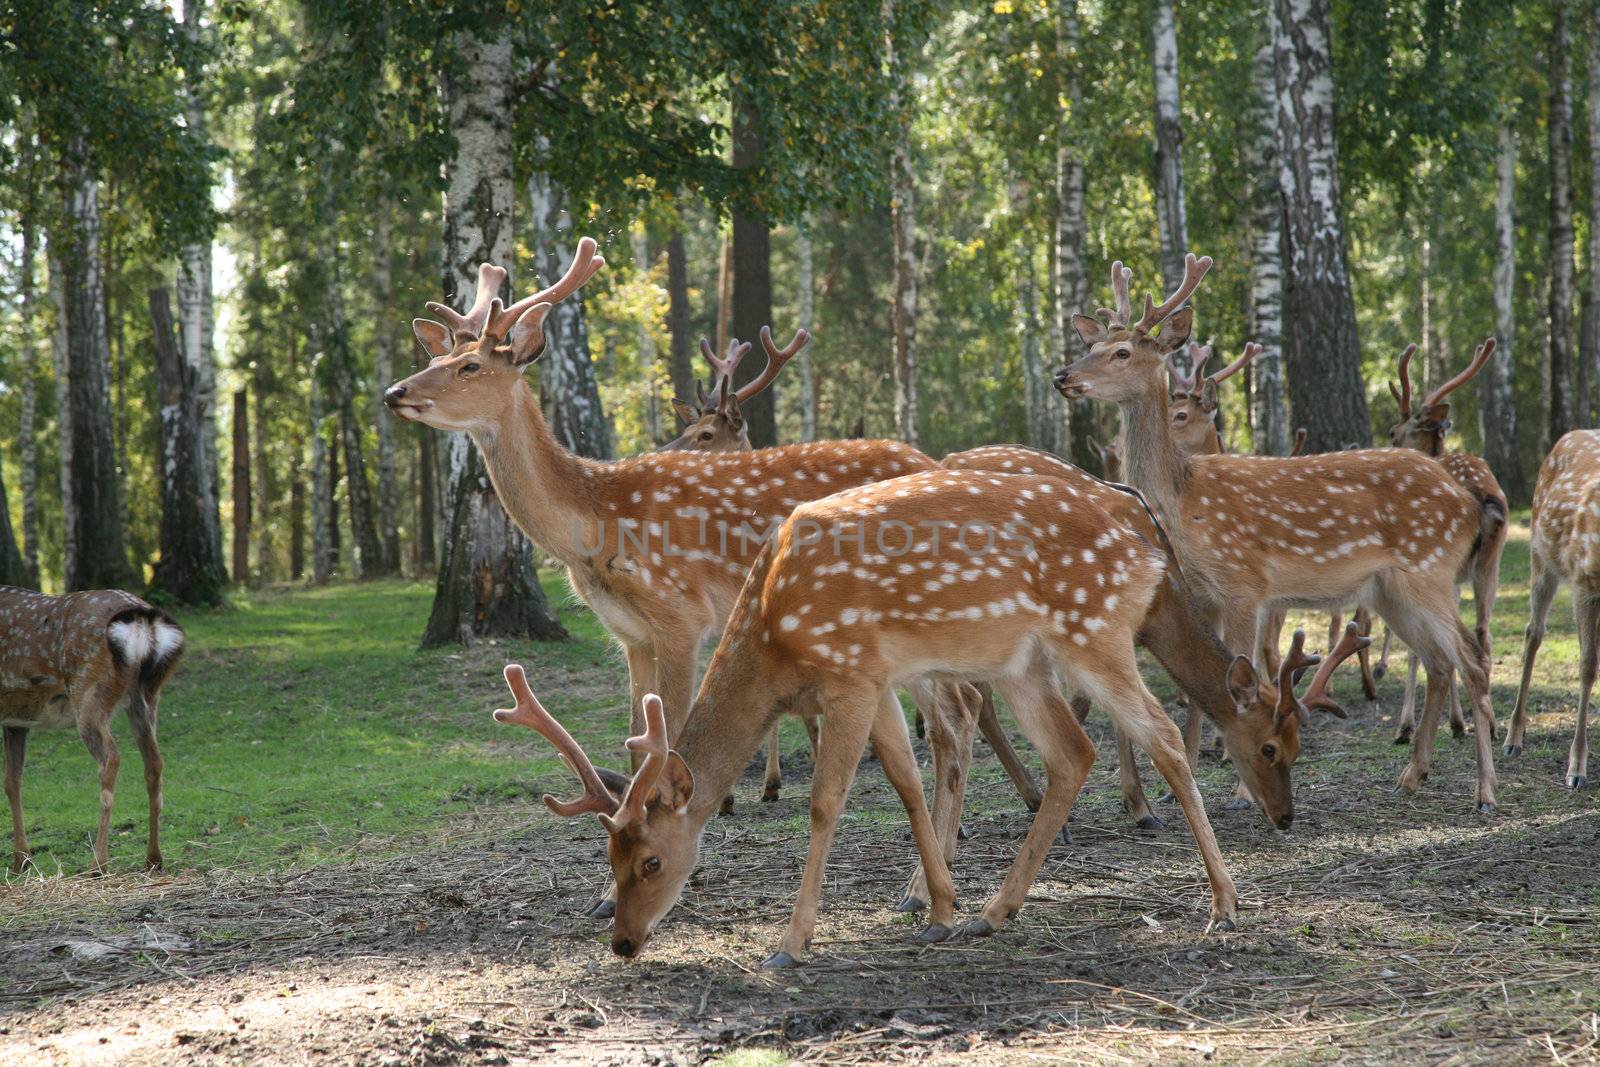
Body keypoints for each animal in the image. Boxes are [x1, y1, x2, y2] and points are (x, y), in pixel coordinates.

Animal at [1, 588, 184, 870]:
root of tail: (144, 617)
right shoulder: (16, 720)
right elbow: (12, 781)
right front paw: (22, 859)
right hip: (147, 696)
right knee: (155, 763)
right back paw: (153, 858)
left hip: (89, 693)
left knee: (111, 759)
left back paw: (98, 864)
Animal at [1376, 337, 1510, 748]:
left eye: (1393, 431)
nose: (1388, 446)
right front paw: (1458, 721)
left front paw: (1411, 725)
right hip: (1489, 565)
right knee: (1483, 633)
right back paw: (1494, 725)